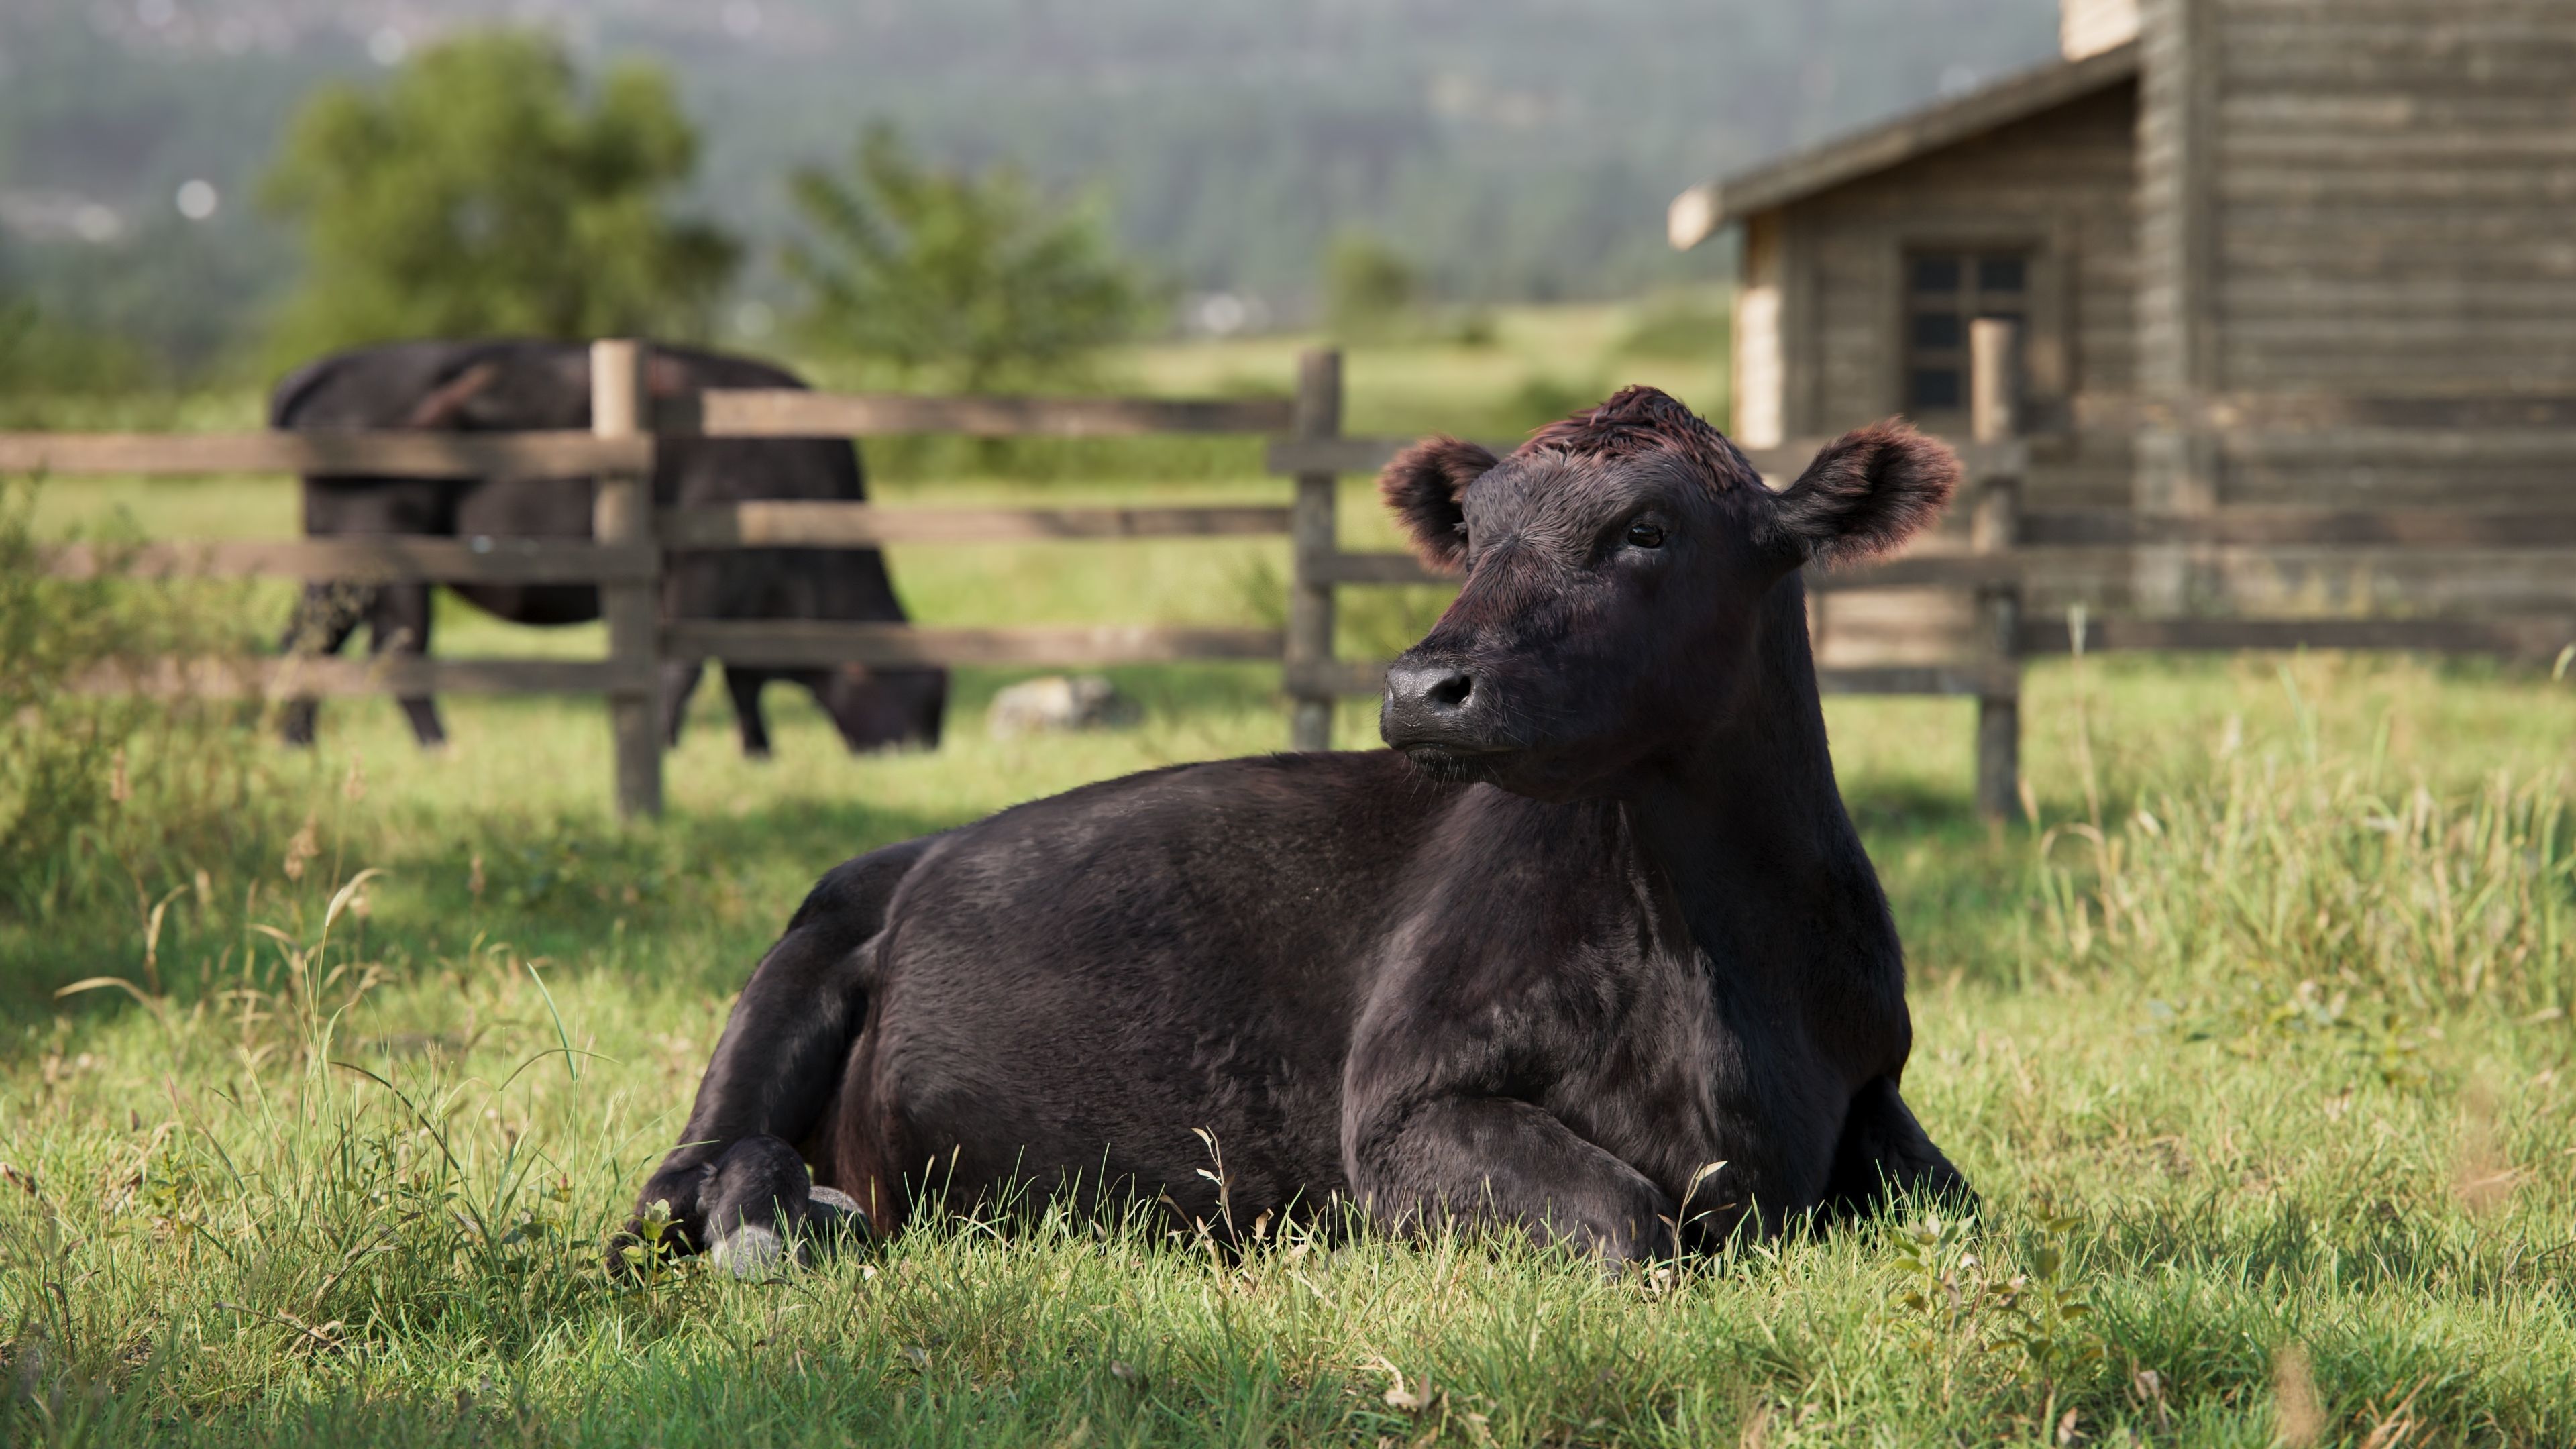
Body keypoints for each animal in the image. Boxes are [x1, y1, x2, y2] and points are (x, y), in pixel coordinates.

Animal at [270, 340, 946, 757]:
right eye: (921, 701)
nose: (923, 749)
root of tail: (321, 372)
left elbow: (743, 679)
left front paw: (758, 752)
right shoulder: (705, 572)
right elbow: (688, 668)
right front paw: (669, 742)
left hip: (330, 565)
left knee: (308, 639)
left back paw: (295, 741)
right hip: (387, 557)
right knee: (397, 650)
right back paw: (439, 747)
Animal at [618, 387, 1968, 1273]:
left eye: (1648, 527)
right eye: (1475, 532)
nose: (1421, 684)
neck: (1713, 962)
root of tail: (908, 855)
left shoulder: (1874, 1085)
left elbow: (1962, 1210)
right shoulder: (1400, 1118)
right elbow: (1633, 1227)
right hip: (795, 969)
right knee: (682, 1179)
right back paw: (783, 1225)